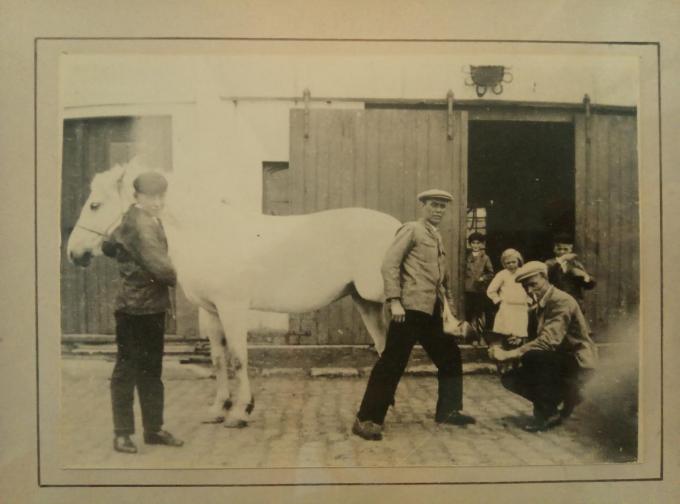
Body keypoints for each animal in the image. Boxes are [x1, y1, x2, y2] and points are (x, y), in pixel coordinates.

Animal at [67, 160, 402, 426]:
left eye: (95, 204)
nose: (74, 252)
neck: (209, 232)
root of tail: (401, 228)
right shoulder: (211, 311)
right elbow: (218, 359)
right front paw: (219, 409)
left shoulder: (233, 308)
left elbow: (239, 357)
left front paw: (241, 411)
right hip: (366, 302)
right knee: (384, 347)